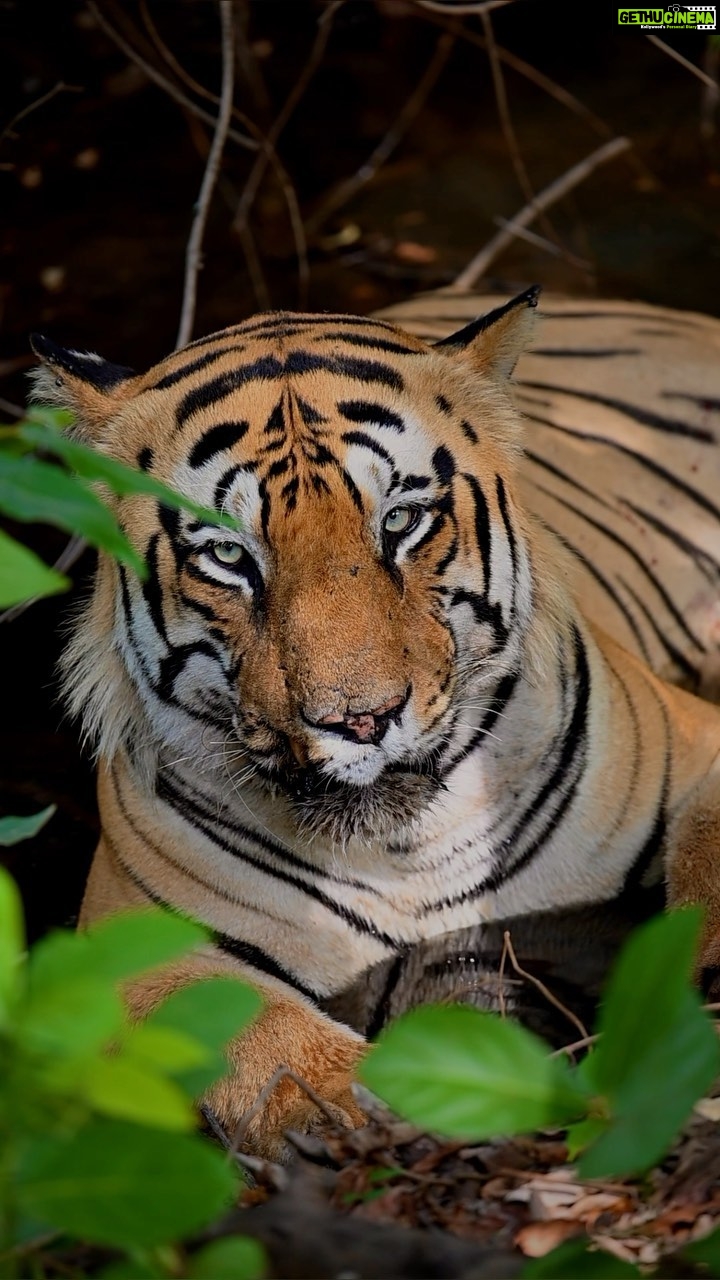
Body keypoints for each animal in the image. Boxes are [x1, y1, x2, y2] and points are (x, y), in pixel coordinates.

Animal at [29, 286, 720, 1159]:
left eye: (400, 522)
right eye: (228, 555)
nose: (360, 718)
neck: (403, 852)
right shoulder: (124, 944)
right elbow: (267, 1035)